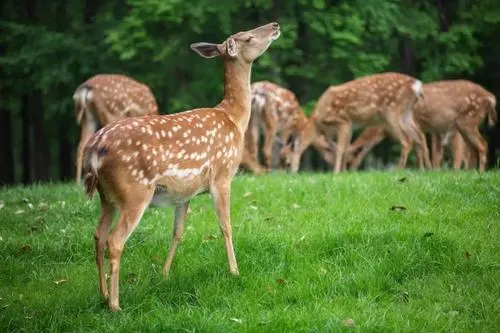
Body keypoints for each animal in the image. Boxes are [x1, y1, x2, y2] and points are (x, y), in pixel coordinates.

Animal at [81, 23, 282, 312]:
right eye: (248, 37)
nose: (275, 25)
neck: (234, 119)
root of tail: (95, 149)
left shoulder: (184, 192)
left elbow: (176, 232)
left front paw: (164, 274)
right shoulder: (222, 175)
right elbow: (226, 225)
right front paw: (234, 271)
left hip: (107, 196)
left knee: (98, 236)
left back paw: (103, 294)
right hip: (134, 192)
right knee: (114, 240)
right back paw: (115, 304)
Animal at [284, 71, 428, 172]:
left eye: (288, 162)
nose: (291, 173)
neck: (318, 123)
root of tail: (416, 85)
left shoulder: (343, 121)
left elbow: (341, 148)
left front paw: (336, 173)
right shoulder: (348, 127)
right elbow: (344, 148)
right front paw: (343, 171)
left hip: (392, 111)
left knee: (407, 140)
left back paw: (399, 169)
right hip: (406, 113)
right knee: (419, 137)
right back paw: (423, 170)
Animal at [344, 79, 496, 170]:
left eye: (349, 161)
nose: (348, 171)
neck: (383, 128)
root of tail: (491, 98)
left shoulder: (415, 122)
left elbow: (420, 145)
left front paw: (425, 169)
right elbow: (421, 146)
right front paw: (425, 169)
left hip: (465, 122)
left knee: (479, 145)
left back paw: (474, 171)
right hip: (461, 125)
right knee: (471, 149)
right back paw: (470, 171)